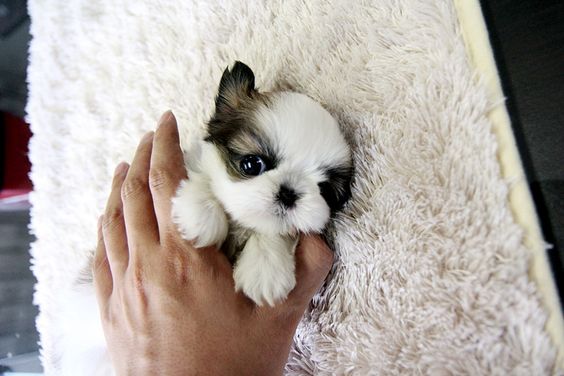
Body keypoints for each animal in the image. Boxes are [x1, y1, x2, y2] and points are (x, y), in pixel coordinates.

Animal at [171, 62, 352, 306]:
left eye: (325, 190)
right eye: (251, 165)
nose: (288, 193)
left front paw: (265, 269)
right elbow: (204, 175)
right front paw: (201, 214)